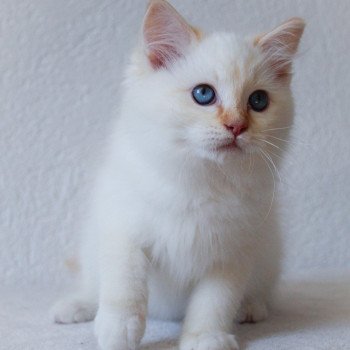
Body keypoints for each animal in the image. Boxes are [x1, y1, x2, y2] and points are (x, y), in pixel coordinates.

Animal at [51, 0, 304, 350]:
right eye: (203, 94)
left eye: (258, 101)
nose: (237, 126)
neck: (201, 180)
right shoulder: (123, 227)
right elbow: (124, 284)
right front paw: (118, 329)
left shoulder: (233, 251)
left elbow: (215, 301)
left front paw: (206, 337)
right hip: (92, 243)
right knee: (94, 284)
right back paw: (76, 306)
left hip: (269, 253)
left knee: (258, 293)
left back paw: (251, 308)